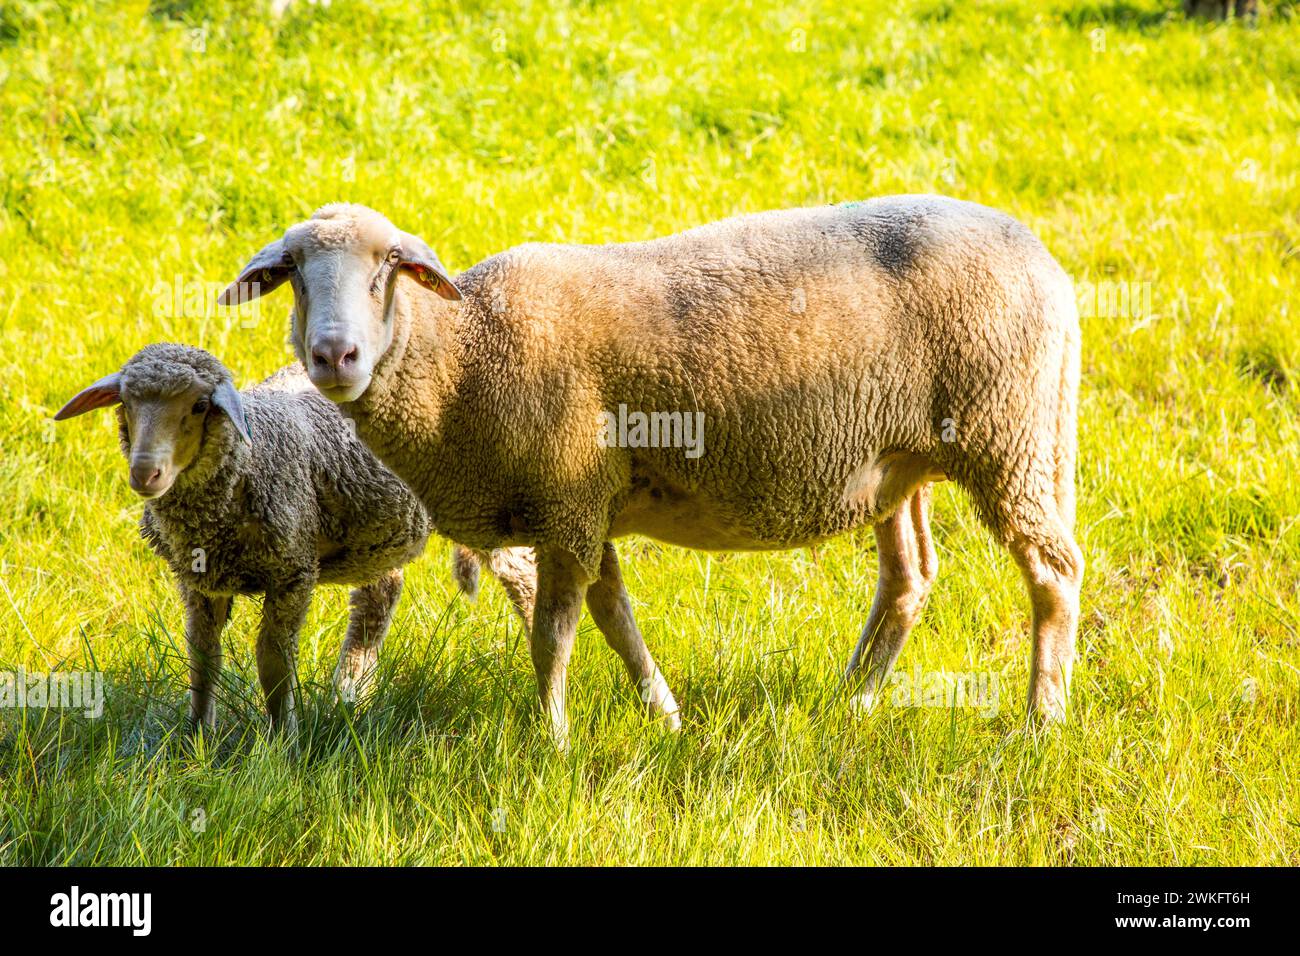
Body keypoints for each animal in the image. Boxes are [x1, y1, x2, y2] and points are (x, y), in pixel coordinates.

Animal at [218, 196, 1081, 749]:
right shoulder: (584, 505)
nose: (335, 355)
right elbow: (613, 615)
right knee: (909, 578)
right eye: (293, 273)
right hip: (898, 462)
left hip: (1007, 435)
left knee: (1054, 572)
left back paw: (1042, 721)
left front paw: (553, 740)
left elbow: (554, 634)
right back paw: (853, 701)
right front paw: (663, 715)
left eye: (388, 269)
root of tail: (1043, 257)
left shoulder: (567, 502)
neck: (465, 352)